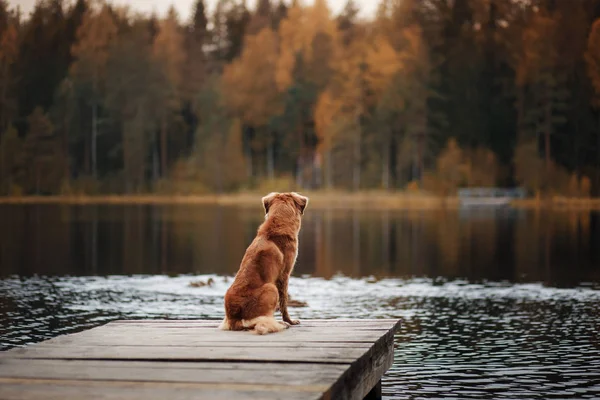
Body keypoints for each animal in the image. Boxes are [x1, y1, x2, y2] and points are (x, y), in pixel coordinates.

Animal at [218, 191, 310, 334]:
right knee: (262, 320)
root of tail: (234, 319)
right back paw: (281, 324)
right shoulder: (284, 276)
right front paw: (290, 321)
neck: (276, 226)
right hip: (271, 288)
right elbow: (284, 303)